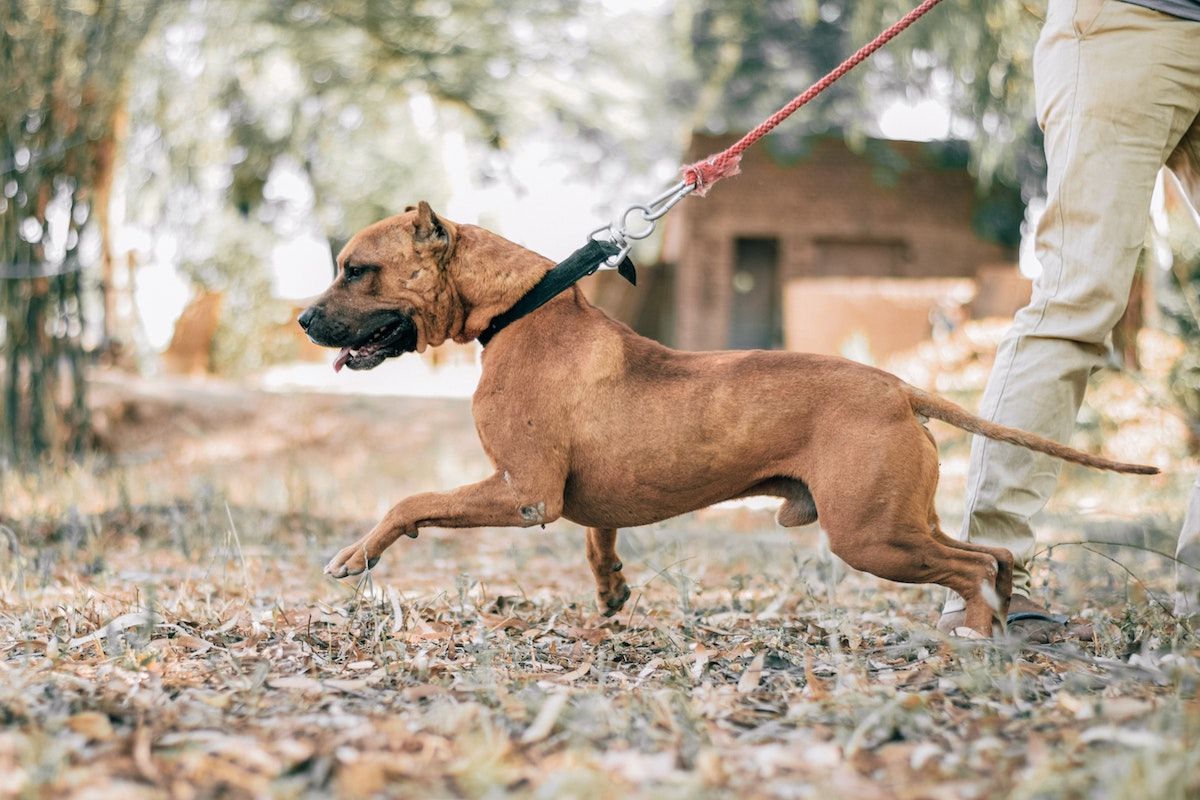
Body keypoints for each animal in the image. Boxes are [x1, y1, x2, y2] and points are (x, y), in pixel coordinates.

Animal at [295, 205, 1156, 638]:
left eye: (357, 269)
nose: (301, 319)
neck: (519, 308)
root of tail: (899, 387)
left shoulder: (523, 492)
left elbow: (411, 501)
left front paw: (355, 555)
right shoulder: (573, 498)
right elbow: (599, 541)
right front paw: (612, 592)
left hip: (871, 535)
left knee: (974, 564)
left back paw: (976, 631)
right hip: (898, 521)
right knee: (994, 555)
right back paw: (1000, 619)